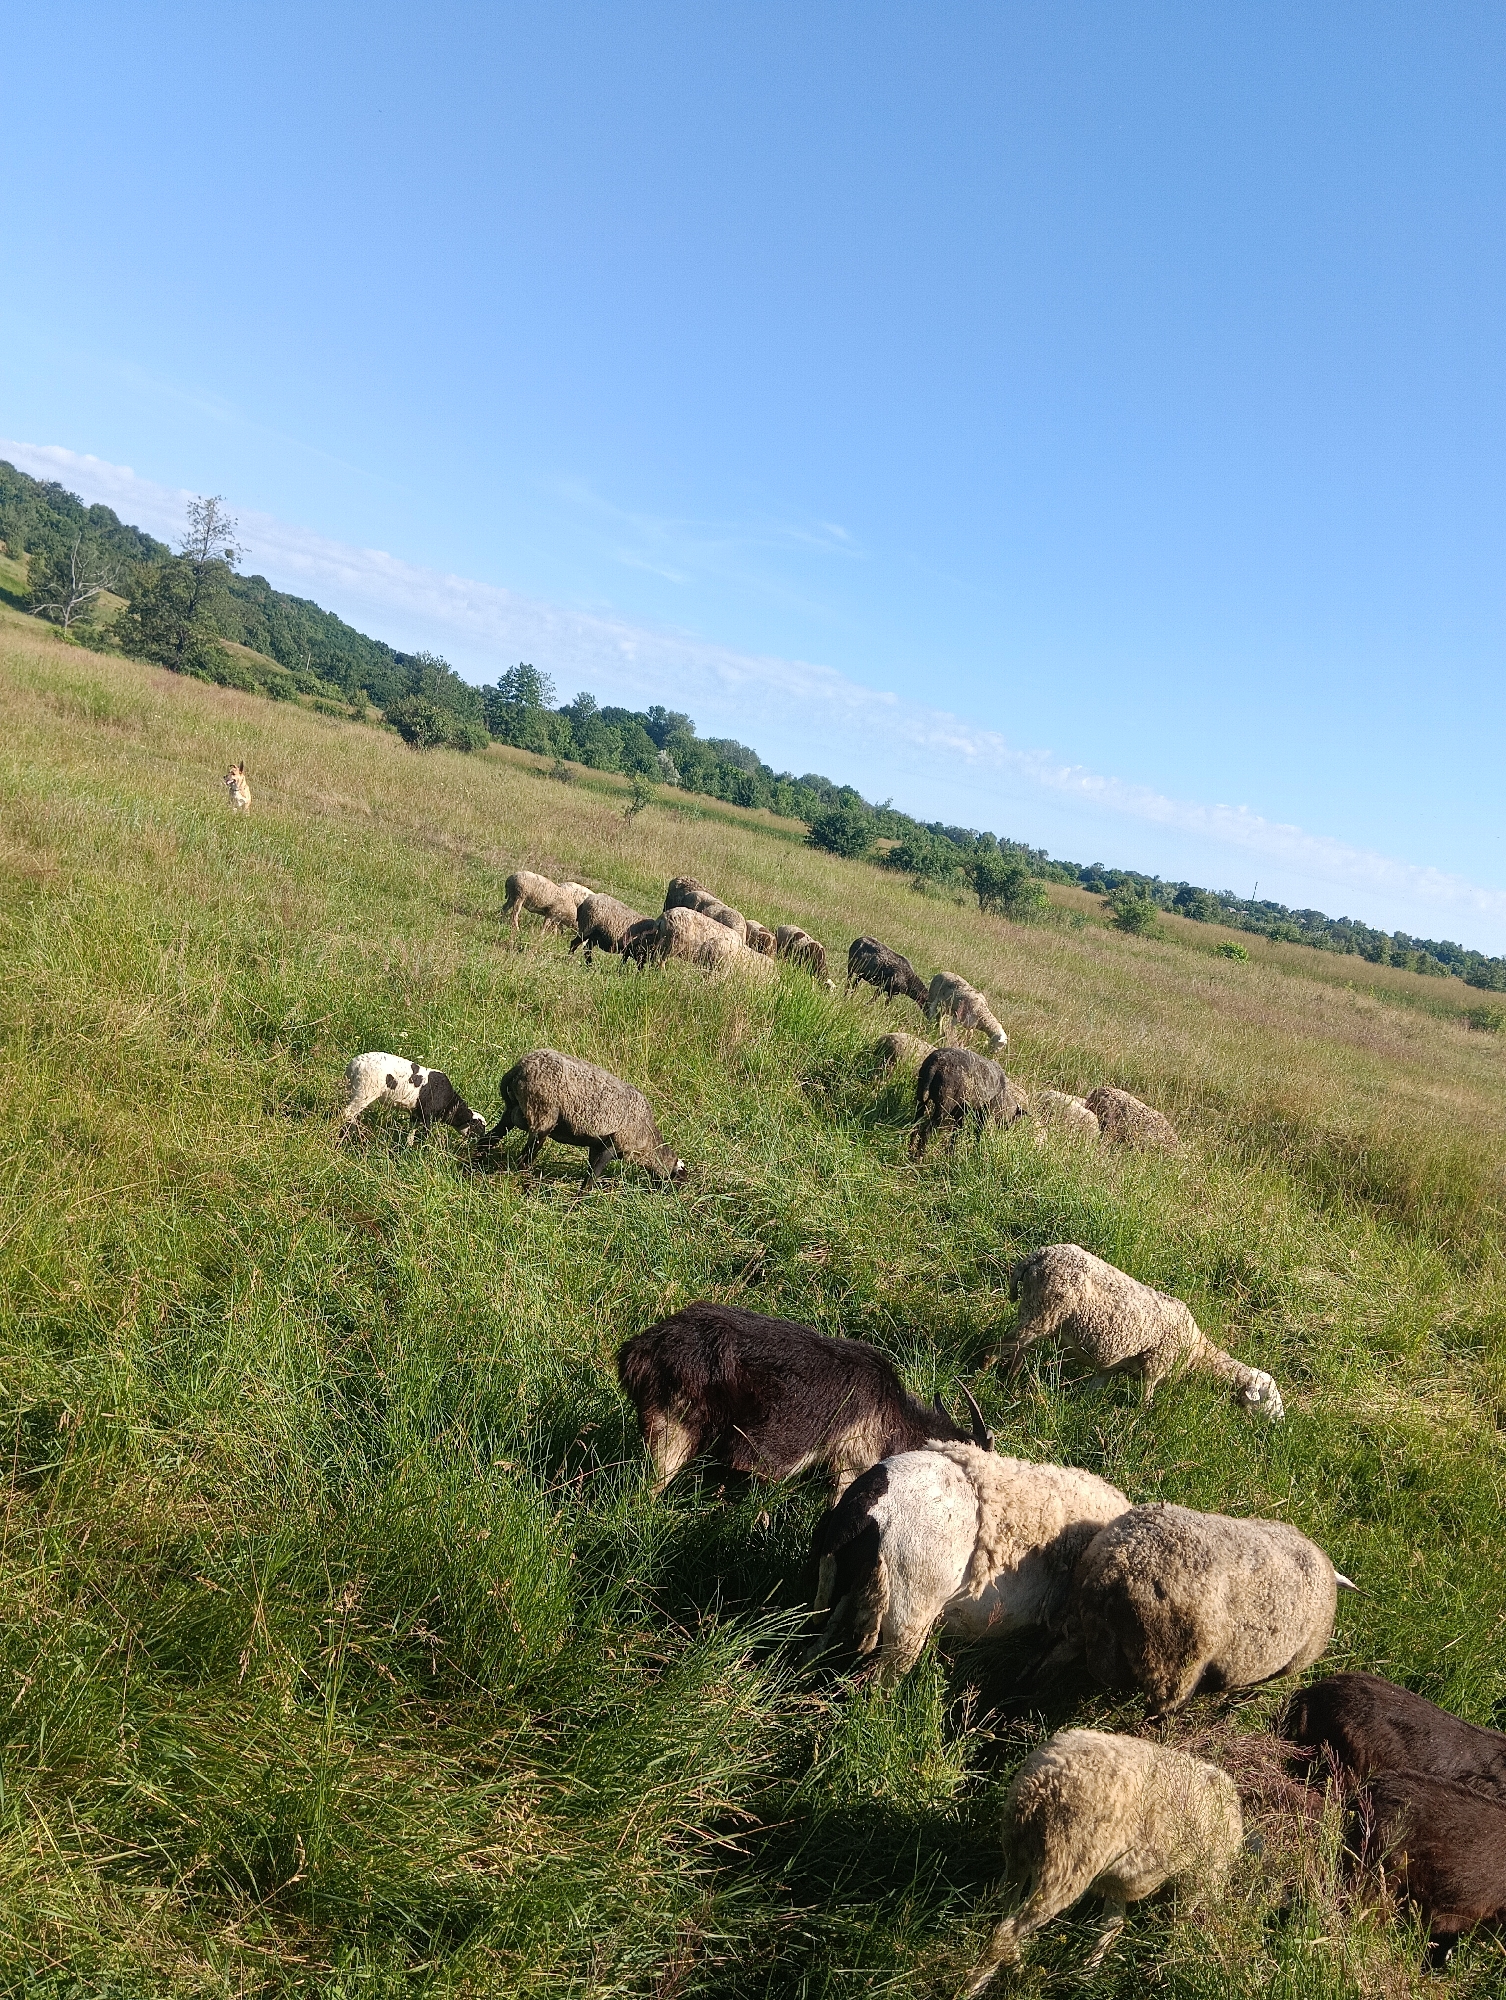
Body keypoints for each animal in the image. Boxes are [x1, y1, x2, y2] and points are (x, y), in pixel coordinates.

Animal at [339, 1053, 488, 1144]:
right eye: (479, 1127)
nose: (483, 1139)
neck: (449, 1104)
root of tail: (354, 1065)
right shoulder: (427, 1115)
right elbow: (426, 1133)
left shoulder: (416, 1114)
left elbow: (412, 1131)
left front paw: (408, 1145)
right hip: (364, 1091)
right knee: (347, 1114)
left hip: (351, 1090)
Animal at [487, 1049, 684, 1182]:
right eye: (680, 1178)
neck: (648, 1142)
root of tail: (519, 1068)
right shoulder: (612, 1145)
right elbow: (592, 1179)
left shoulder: (595, 1146)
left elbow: (590, 1173)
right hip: (542, 1114)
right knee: (523, 1160)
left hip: (512, 1111)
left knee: (490, 1138)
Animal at [808, 1443, 1129, 1682]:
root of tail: (866, 1509)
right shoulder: (1071, 1629)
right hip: (907, 1618)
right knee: (878, 1690)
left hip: (836, 1588)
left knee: (813, 1645)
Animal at [963, 1729, 1243, 1990]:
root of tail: (1043, 1779)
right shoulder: (1200, 1876)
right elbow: (1177, 1924)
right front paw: (1171, 1963)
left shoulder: (1120, 1882)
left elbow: (1112, 1924)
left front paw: (1088, 1972)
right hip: (1068, 1861)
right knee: (1006, 1932)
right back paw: (973, 1985)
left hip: (1017, 1846)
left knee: (1004, 1902)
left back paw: (1015, 1964)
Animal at [1006, 1244, 1284, 1419]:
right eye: (1270, 1397)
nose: (1281, 1422)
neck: (1195, 1351)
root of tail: (1039, 1255)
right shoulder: (1155, 1367)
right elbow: (1144, 1405)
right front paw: (1138, 1425)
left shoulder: (1111, 1368)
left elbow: (1093, 1392)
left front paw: (1083, 1411)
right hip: (1044, 1309)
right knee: (1008, 1343)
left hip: (1037, 1311)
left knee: (1019, 1348)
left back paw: (1010, 1380)